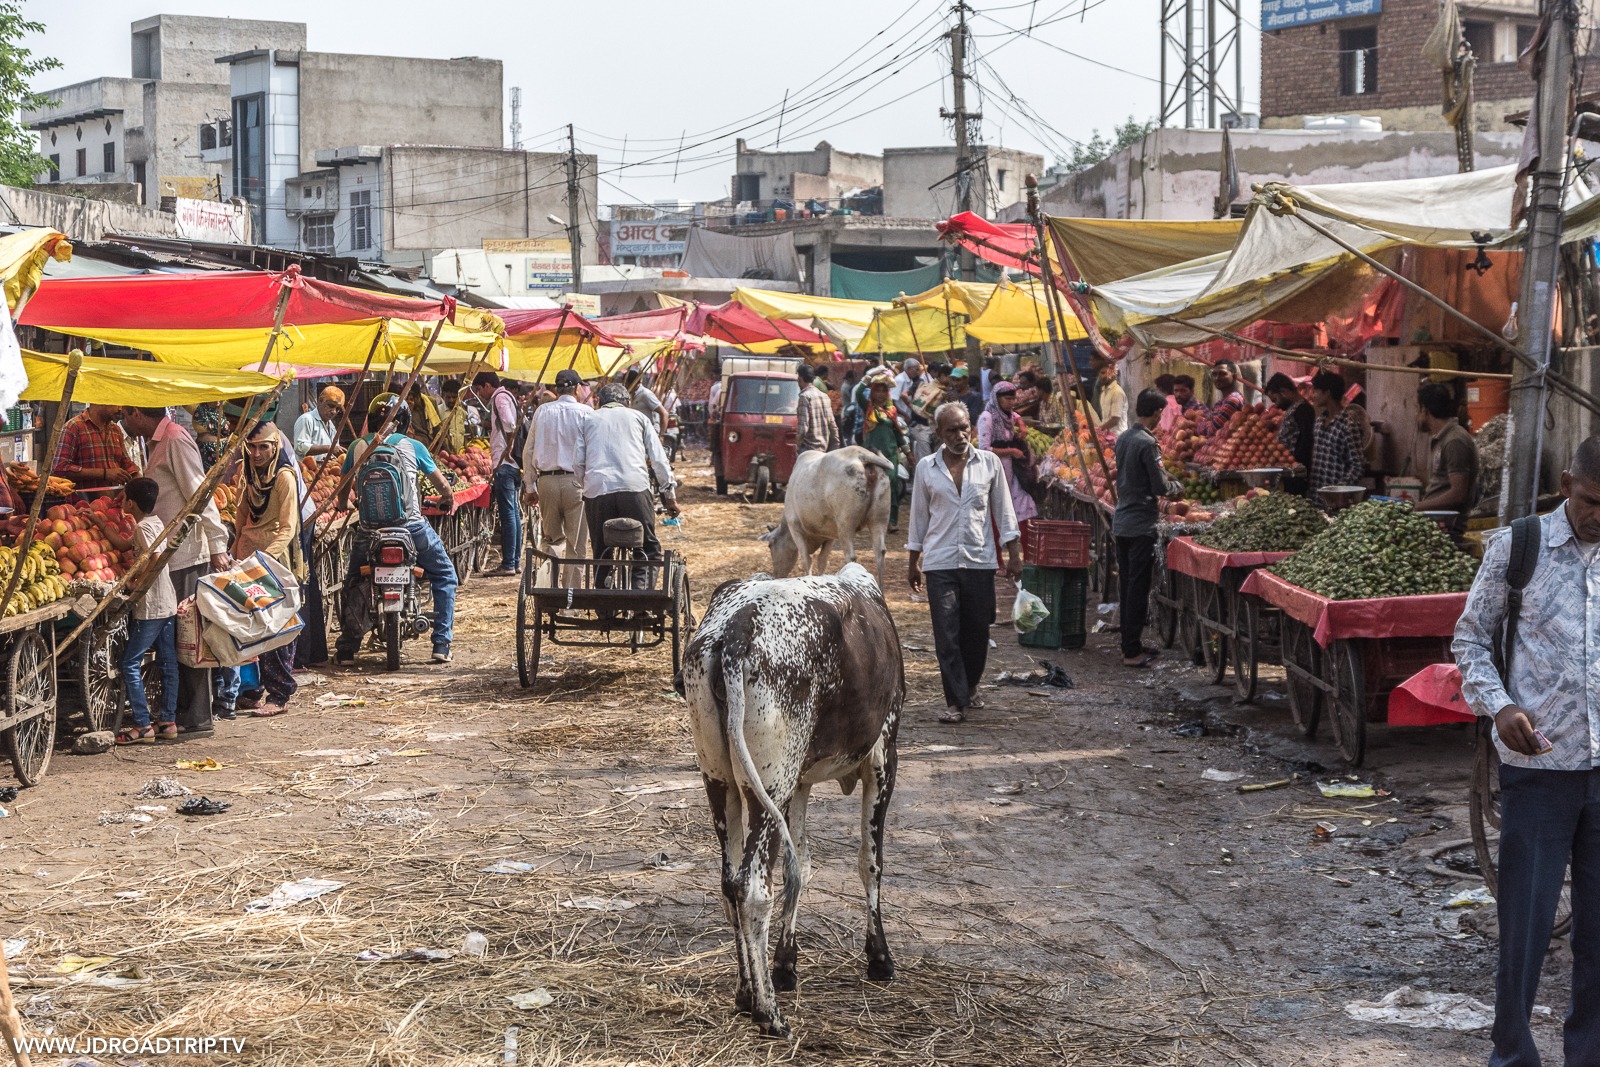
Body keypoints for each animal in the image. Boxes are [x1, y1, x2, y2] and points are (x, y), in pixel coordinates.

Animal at [758, 447, 896, 588]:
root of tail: (861, 455)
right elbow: (822, 560)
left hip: (846, 523)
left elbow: (807, 560)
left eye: (770, 545)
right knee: (880, 552)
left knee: (851, 556)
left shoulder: (795, 528)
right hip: (879, 518)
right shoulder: (830, 536)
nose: (776, 575)